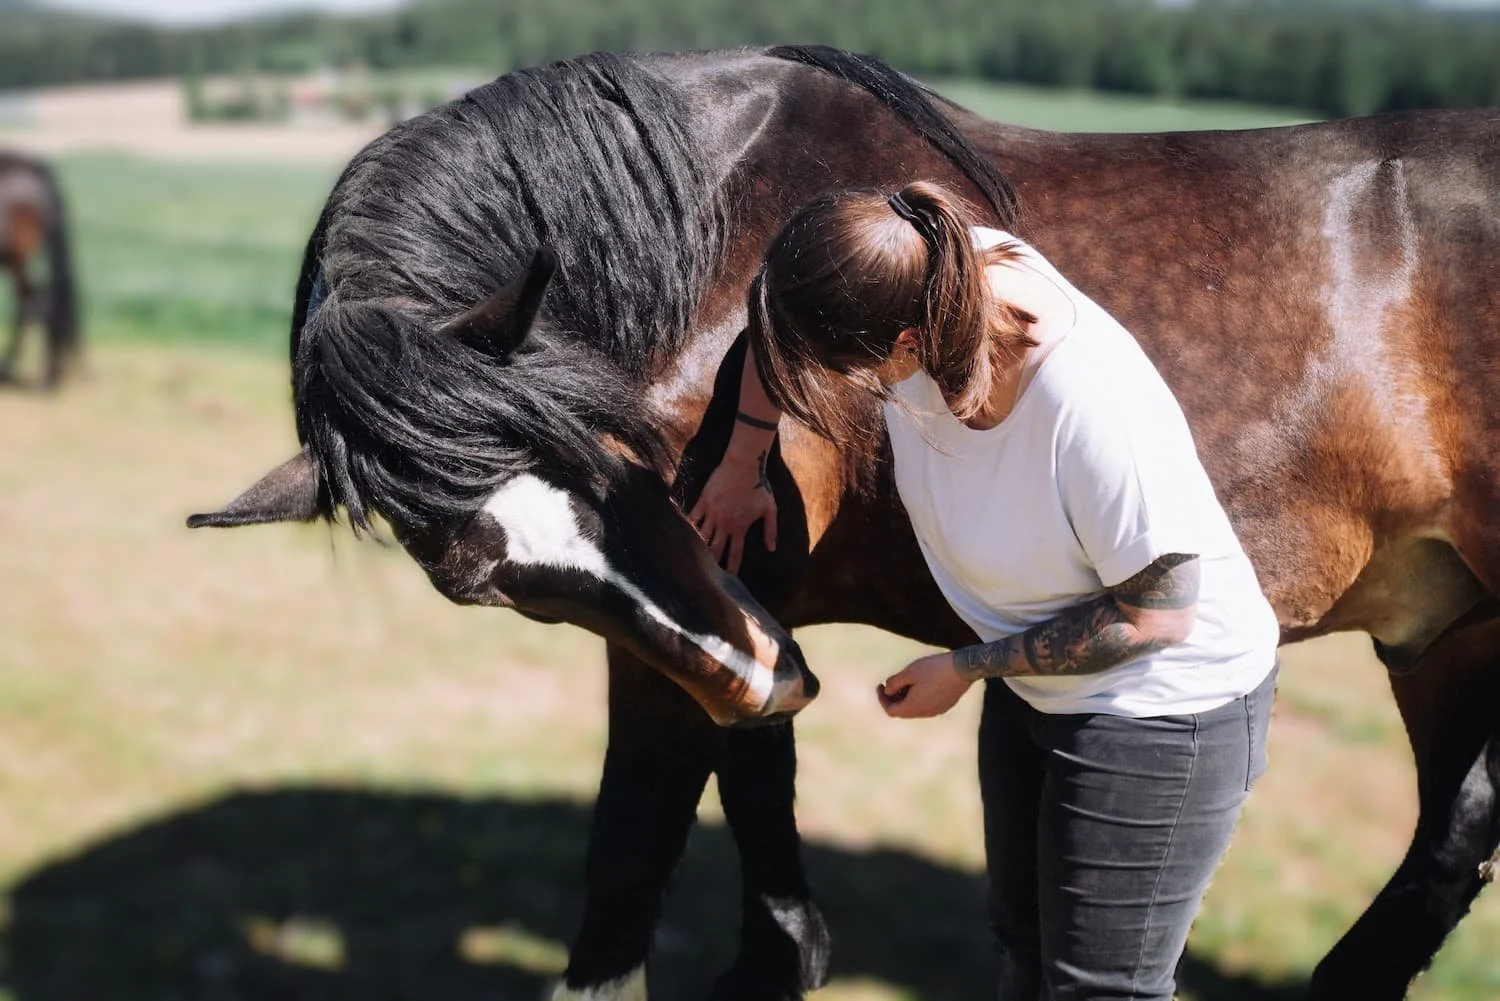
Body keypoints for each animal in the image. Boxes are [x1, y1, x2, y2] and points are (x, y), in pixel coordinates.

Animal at [188, 46, 1500, 1000]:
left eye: (620, 455)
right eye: (480, 580)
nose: (764, 669)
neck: (706, 234)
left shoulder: (695, 631)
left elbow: (629, 862)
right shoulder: (729, 620)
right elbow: (745, 810)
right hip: (1445, 630)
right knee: (1454, 835)